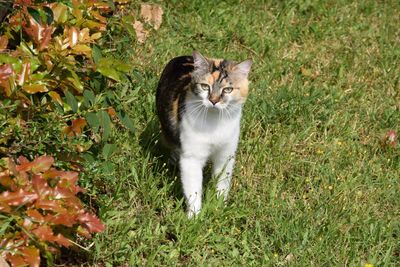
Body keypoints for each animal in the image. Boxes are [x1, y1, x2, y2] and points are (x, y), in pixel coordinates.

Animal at [155, 50, 252, 218]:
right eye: (205, 86)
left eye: (227, 89)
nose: (213, 100)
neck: (214, 122)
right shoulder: (191, 158)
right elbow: (193, 190)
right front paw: (194, 217)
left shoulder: (226, 155)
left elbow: (222, 184)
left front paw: (219, 207)